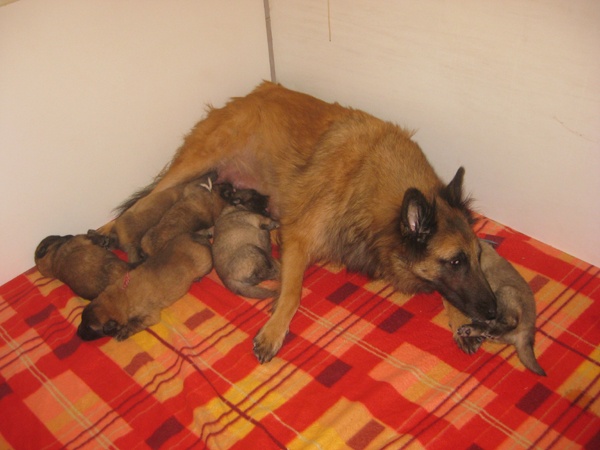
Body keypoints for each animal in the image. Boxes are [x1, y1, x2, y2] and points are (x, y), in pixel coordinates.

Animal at [77, 232, 213, 342]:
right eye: (82, 319)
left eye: (90, 328)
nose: (78, 333)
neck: (119, 297)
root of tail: (198, 237)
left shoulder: (149, 316)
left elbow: (134, 324)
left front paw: (123, 332)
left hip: (204, 265)